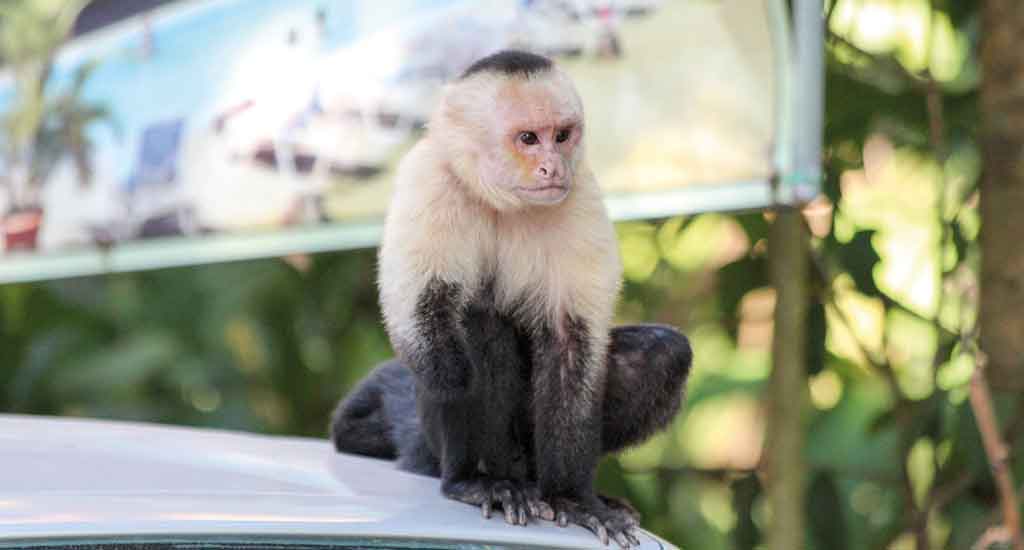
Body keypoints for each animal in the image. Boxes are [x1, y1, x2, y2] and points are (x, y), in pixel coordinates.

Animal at [330, 50, 692, 548]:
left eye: (562, 135)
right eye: (528, 139)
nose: (552, 167)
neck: (504, 200)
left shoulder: (580, 196)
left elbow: (572, 344)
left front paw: (574, 499)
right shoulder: (428, 178)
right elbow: (422, 314)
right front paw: (453, 375)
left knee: (661, 352)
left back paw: (551, 486)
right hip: (437, 441)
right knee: (477, 324)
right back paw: (480, 480)